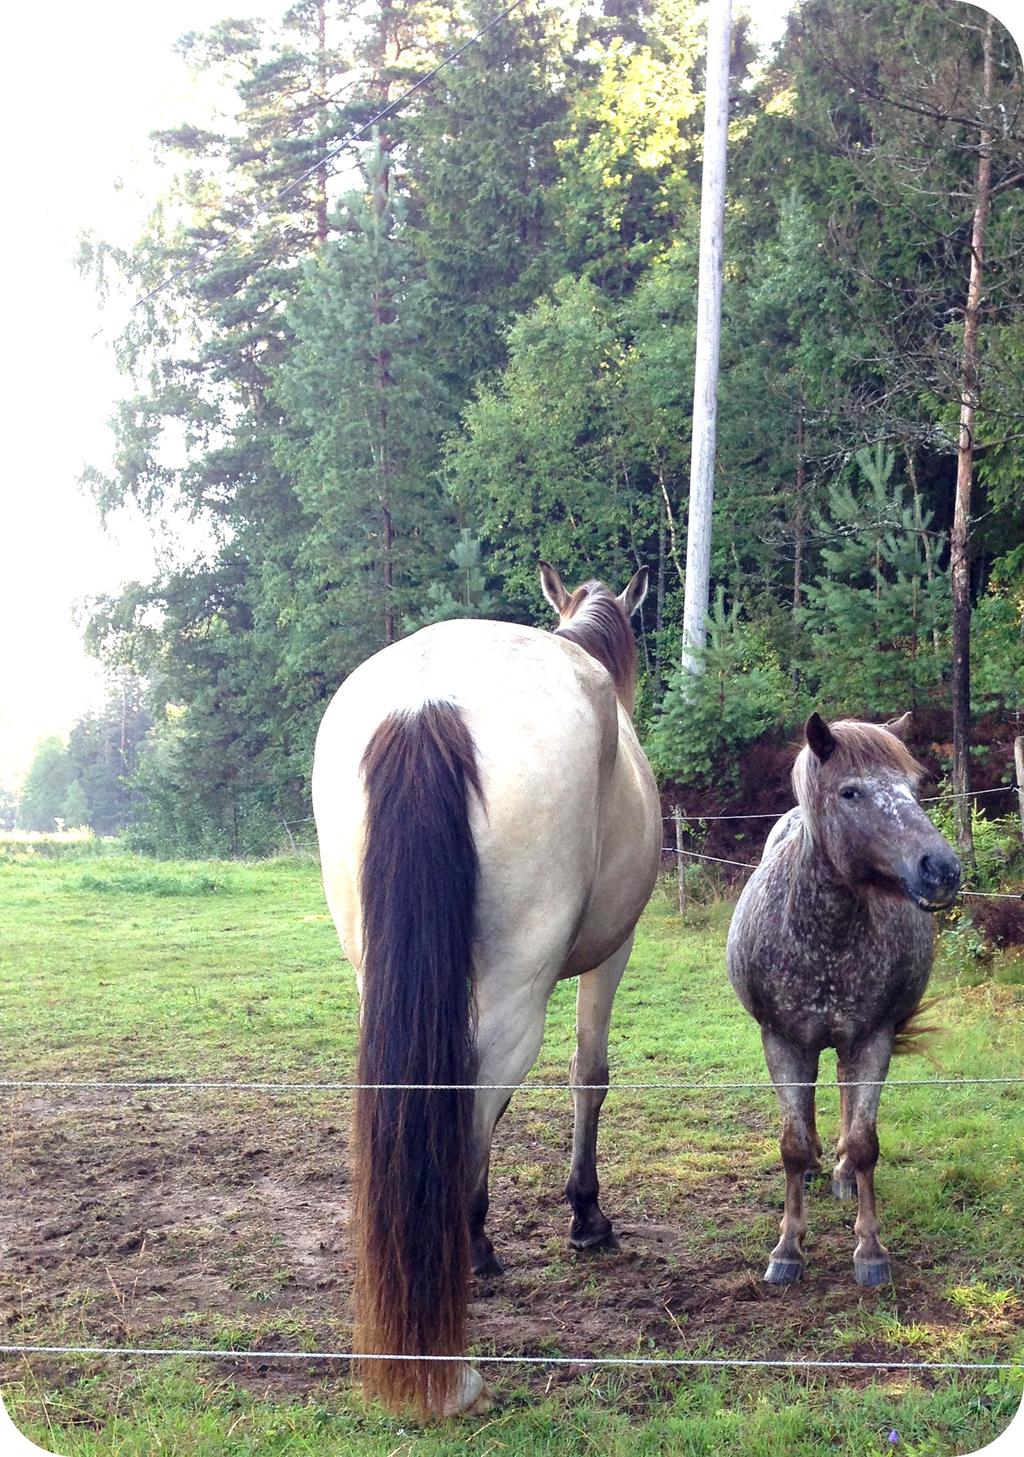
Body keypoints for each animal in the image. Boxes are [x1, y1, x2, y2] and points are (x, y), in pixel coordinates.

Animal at [314, 562, 664, 1416]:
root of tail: (425, 704)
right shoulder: (615, 950)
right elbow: (589, 1073)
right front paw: (585, 1212)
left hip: (380, 977)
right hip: (515, 992)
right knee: (476, 1091)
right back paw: (466, 1257)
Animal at [728, 713, 961, 1287]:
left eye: (913, 788)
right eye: (850, 792)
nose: (942, 869)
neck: (825, 935)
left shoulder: (872, 1040)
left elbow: (864, 1141)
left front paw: (870, 1250)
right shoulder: (783, 1042)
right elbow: (791, 1144)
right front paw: (787, 1248)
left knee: (844, 1096)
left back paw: (840, 1173)